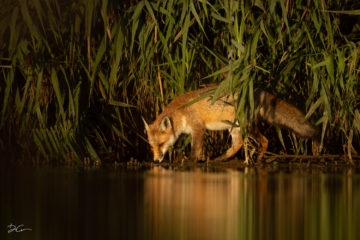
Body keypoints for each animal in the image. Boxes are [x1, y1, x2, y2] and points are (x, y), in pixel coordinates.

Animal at [142, 85, 320, 164]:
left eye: (160, 144)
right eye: (151, 146)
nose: (155, 161)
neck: (182, 112)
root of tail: (256, 90)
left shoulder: (198, 130)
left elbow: (194, 151)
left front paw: (191, 163)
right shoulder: (182, 134)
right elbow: (179, 148)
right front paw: (179, 159)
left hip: (247, 127)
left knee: (264, 141)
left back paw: (258, 160)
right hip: (234, 127)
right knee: (238, 144)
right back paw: (220, 159)